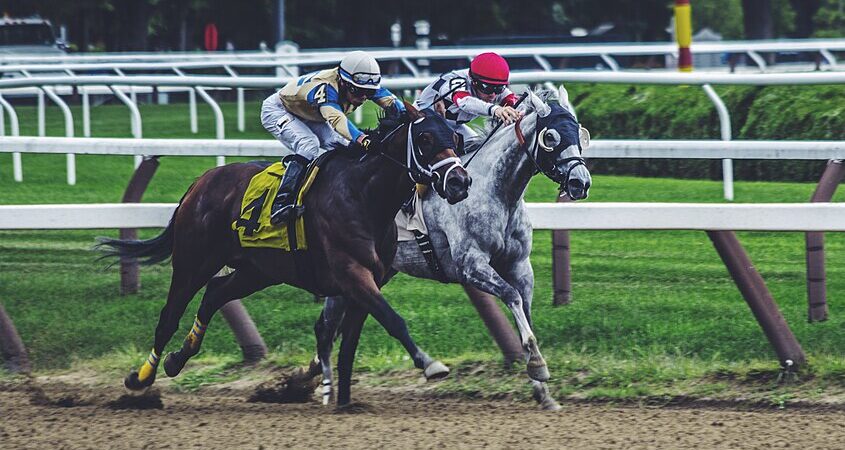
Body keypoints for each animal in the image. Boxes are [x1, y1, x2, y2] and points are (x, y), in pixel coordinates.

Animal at [99, 103, 472, 406]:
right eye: (424, 138)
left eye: (455, 136)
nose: (460, 182)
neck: (363, 195)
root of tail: (201, 181)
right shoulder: (352, 273)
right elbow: (393, 320)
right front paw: (431, 365)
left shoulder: (369, 280)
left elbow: (349, 343)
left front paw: (344, 401)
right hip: (194, 262)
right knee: (169, 318)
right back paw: (141, 378)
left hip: (258, 270)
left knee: (215, 295)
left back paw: (177, 359)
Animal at [312, 87, 592, 408]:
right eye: (551, 137)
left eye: (580, 133)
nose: (580, 182)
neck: (496, 191)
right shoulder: (471, 265)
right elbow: (511, 296)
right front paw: (537, 365)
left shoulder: (520, 265)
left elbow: (525, 310)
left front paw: (543, 390)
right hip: (349, 270)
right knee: (325, 329)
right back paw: (325, 389)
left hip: (374, 275)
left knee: (330, 327)